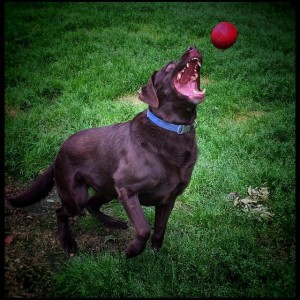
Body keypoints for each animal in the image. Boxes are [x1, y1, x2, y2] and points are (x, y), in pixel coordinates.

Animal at [7, 46, 205, 258]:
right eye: (168, 67)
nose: (192, 48)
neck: (173, 130)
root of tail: (58, 153)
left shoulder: (168, 198)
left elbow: (160, 231)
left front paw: (155, 255)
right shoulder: (127, 189)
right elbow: (143, 228)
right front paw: (132, 251)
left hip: (107, 187)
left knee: (92, 204)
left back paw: (111, 222)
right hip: (76, 195)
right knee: (62, 211)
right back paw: (67, 241)